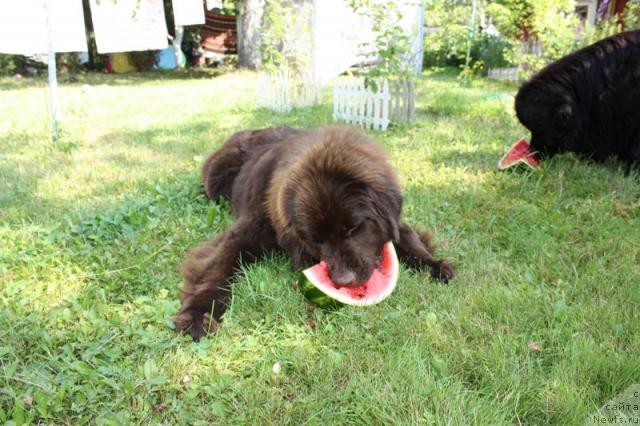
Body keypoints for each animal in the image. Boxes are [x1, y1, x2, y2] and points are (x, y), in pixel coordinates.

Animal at [175, 124, 456, 340]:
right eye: (316, 239)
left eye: (354, 228)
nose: (344, 280)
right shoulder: (244, 232)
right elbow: (219, 269)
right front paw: (198, 313)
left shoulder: (394, 223)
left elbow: (410, 240)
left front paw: (435, 265)